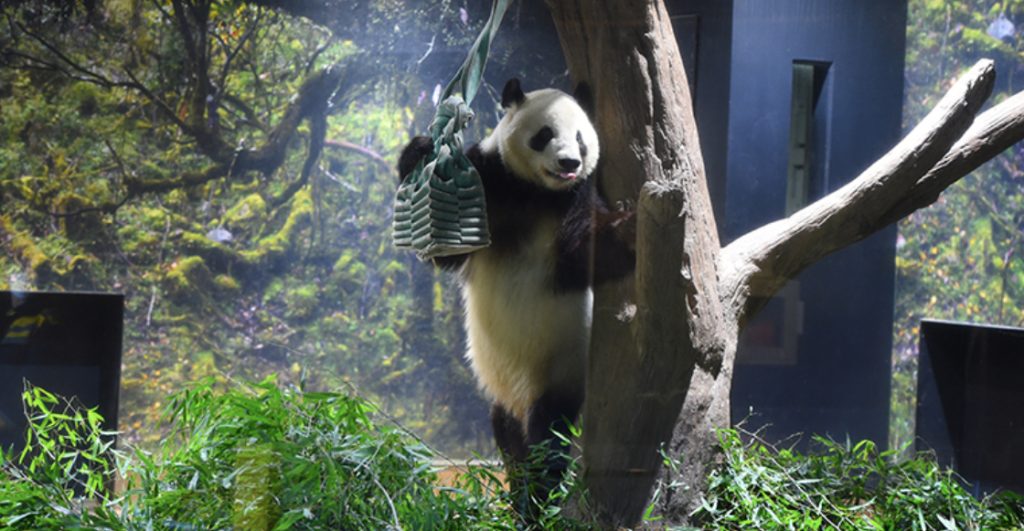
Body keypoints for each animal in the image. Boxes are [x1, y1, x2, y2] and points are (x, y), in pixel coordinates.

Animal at [399, 78, 632, 499]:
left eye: (580, 139)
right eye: (545, 135)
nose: (569, 164)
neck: (536, 193)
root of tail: (522, 401)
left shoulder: (576, 197)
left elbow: (584, 252)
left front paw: (628, 226)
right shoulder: (492, 180)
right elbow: (448, 252)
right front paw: (421, 152)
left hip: (562, 372)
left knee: (548, 434)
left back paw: (540, 491)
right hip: (504, 394)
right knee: (507, 436)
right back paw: (523, 490)